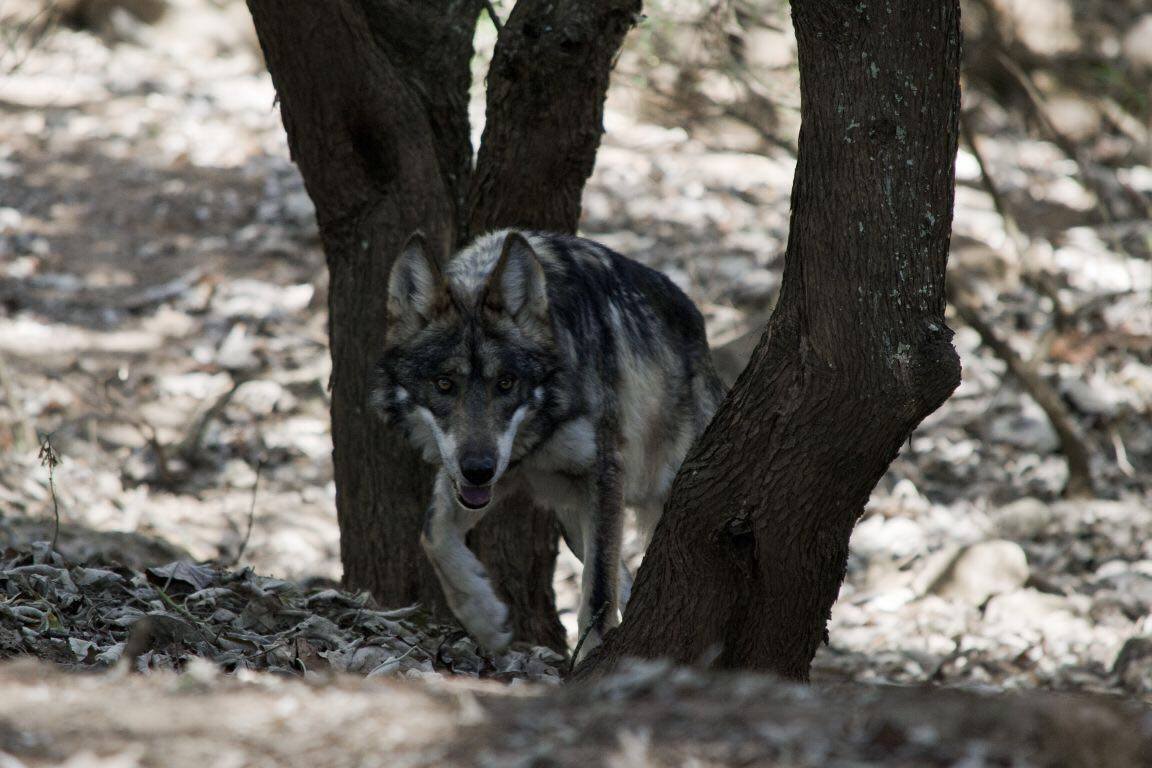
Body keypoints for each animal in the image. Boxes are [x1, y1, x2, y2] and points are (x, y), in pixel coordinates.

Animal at [371, 229, 724, 659]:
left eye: (506, 383)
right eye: (444, 384)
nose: (479, 470)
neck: (540, 431)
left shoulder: (603, 472)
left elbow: (597, 591)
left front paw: (592, 658)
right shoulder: (495, 474)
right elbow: (433, 534)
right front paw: (485, 619)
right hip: (573, 519)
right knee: (623, 575)